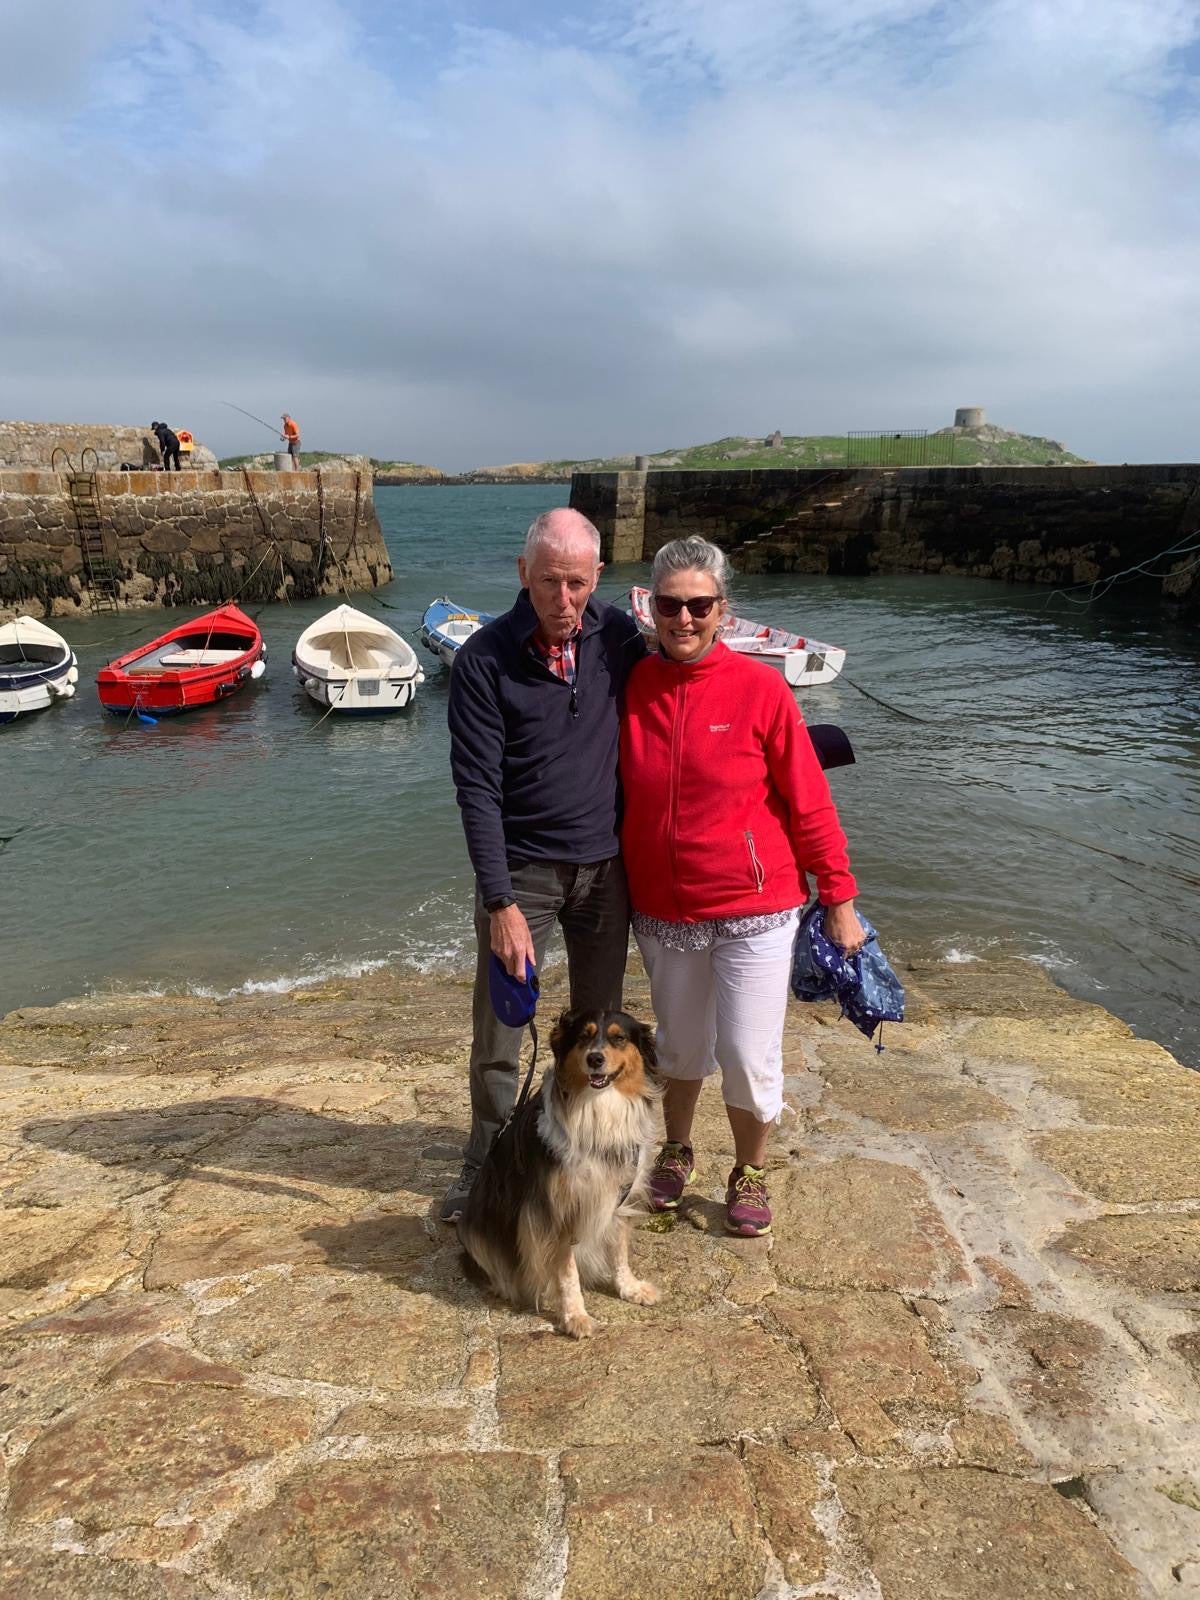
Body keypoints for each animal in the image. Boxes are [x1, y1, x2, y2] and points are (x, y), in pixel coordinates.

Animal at [460, 1011, 668, 1337]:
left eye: (619, 1038)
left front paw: (630, 1288)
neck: (599, 1106)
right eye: (583, 1036)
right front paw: (575, 1317)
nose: (595, 1059)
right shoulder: (553, 1211)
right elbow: (566, 1270)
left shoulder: (618, 1195)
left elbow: (619, 1251)